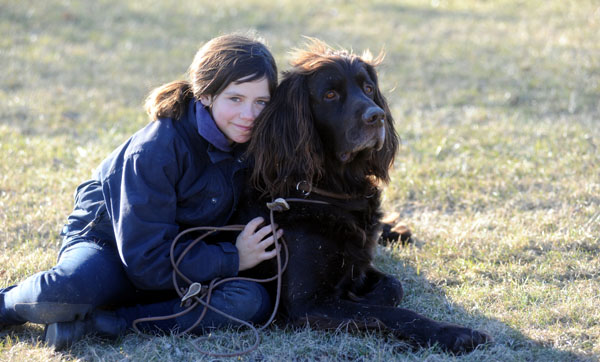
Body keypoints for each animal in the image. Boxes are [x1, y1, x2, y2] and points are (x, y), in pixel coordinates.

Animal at [232, 39, 490, 354]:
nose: (377, 116)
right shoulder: (306, 303)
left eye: (368, 88)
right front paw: (454, 333)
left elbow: (393, 285)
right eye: (330, 94)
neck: (327, 190)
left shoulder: (359, 263)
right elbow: (390, 311)